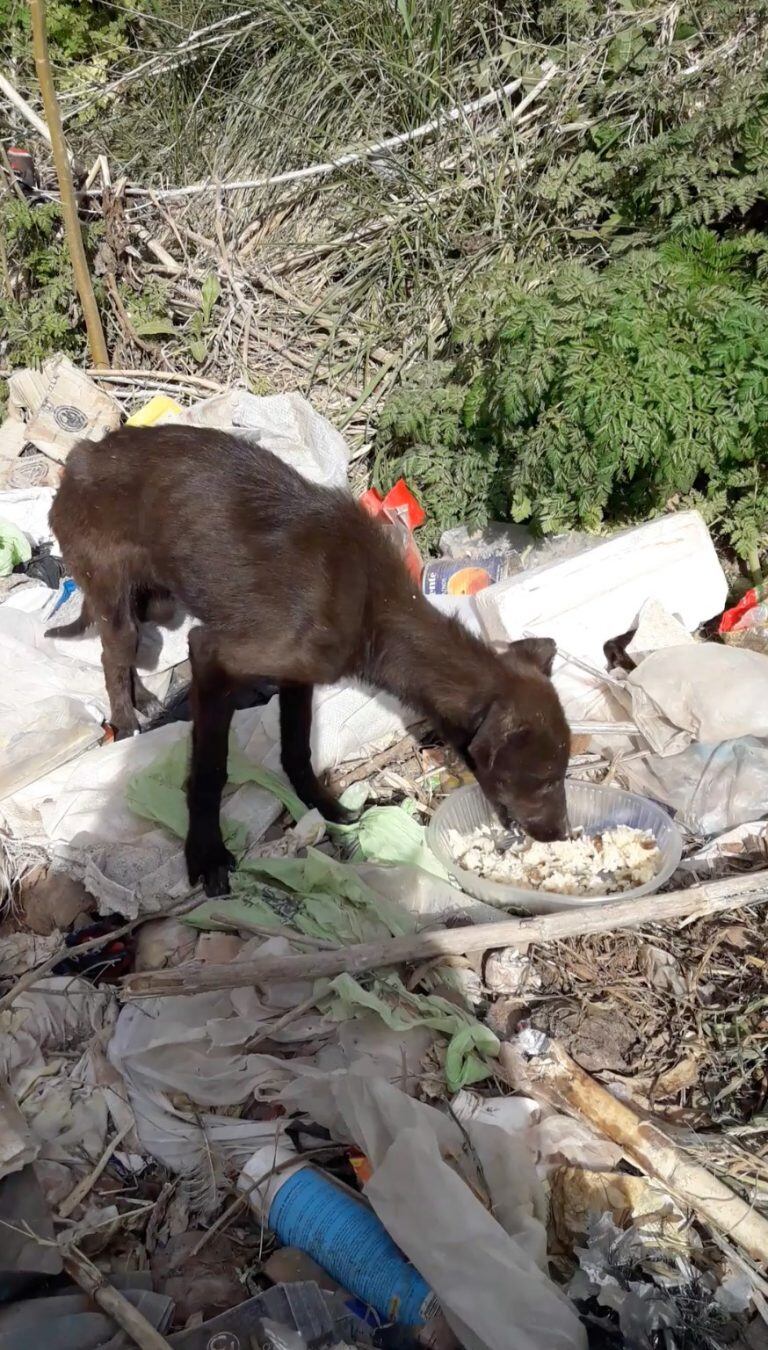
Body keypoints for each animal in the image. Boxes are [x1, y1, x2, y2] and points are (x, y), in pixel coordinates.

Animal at [47, 426, 566, 896]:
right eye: (543, 778)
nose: (562, 834)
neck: (374, 610)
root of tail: (83, 455)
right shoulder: (213, 655)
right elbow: (211, 768)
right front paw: (207, 852)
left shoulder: (299, 675)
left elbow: (297, 748)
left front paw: (325, 806)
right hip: (115, 590)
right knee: (112, 654)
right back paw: (125, 722)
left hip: (152, 598)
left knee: (126, 650)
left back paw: (145, 699)